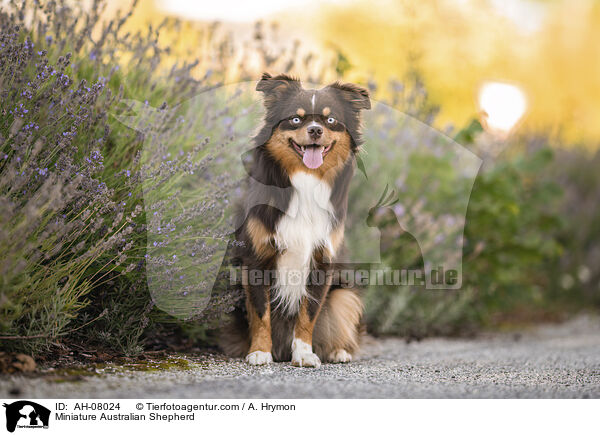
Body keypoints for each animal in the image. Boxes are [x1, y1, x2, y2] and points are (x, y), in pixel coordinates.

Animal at [220, 71, 370, 368]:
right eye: (296, 119)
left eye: (331, 120)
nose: (315, 131)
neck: (305, 180)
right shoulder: (256, 259)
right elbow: (261, 313)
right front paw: (260, 352)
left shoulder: (322, 261)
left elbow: (308, 315)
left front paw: (303, 353)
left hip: (344, 296)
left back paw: (337, 351)